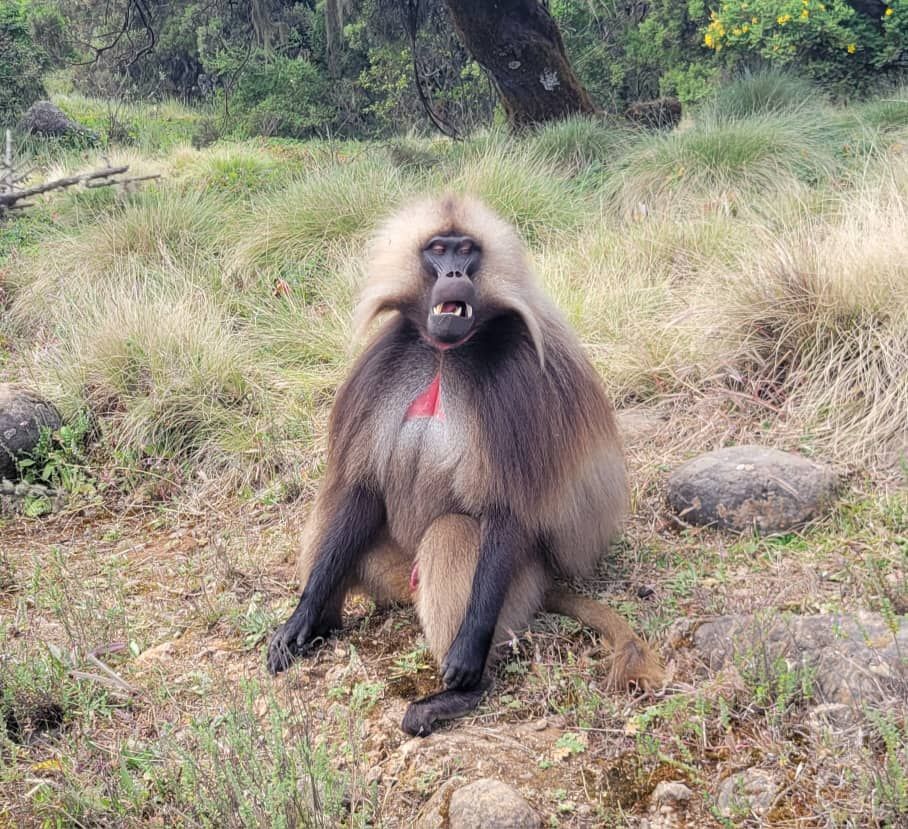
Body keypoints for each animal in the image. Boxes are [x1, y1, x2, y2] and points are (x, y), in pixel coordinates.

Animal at [267, 194, 663, 736]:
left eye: (467, 250)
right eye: (438, 249)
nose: (455, 272)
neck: (444, 355)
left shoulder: (520, 381)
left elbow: (508, 512)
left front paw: (465, 660)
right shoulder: (380, 371)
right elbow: (361, 489)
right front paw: (301, 620)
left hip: (519, 590)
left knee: (453, 533)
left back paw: (456, 695)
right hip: (390, 570)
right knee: (333, 503)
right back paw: (323, 624)